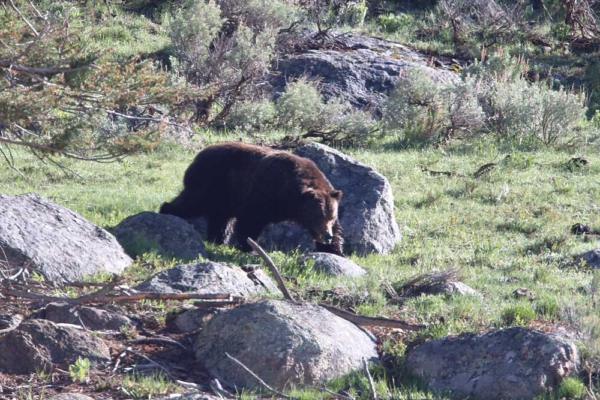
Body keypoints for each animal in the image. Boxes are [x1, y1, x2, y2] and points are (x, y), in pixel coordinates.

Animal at [159, 142, 344, 256]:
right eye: (318, 216)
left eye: (330, 216)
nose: (326, 235)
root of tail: (198, 155)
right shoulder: (262, 193)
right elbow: (251, 222)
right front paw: (251, 248)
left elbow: (338, 231)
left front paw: (335, 250)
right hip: (212, 183)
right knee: (191, 202)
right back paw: (167, 212)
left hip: (226, 196)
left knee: (221, 219)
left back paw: (218, 239)